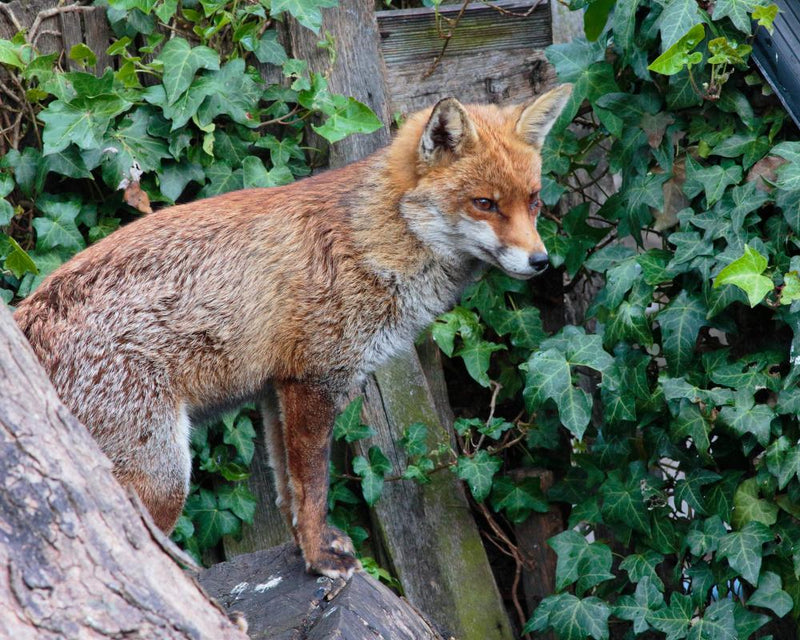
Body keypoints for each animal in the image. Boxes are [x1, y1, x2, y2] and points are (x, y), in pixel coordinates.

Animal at [14, 84, 572, 580]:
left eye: (534, 201)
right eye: (484, 204)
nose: (541, 262)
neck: (375, 238)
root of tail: (25, 321)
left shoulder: (275, 391)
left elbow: (288, 493)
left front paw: (305, 549)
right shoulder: (315, 382)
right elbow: (315, 489)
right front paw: (320, 560)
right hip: (163, 480)